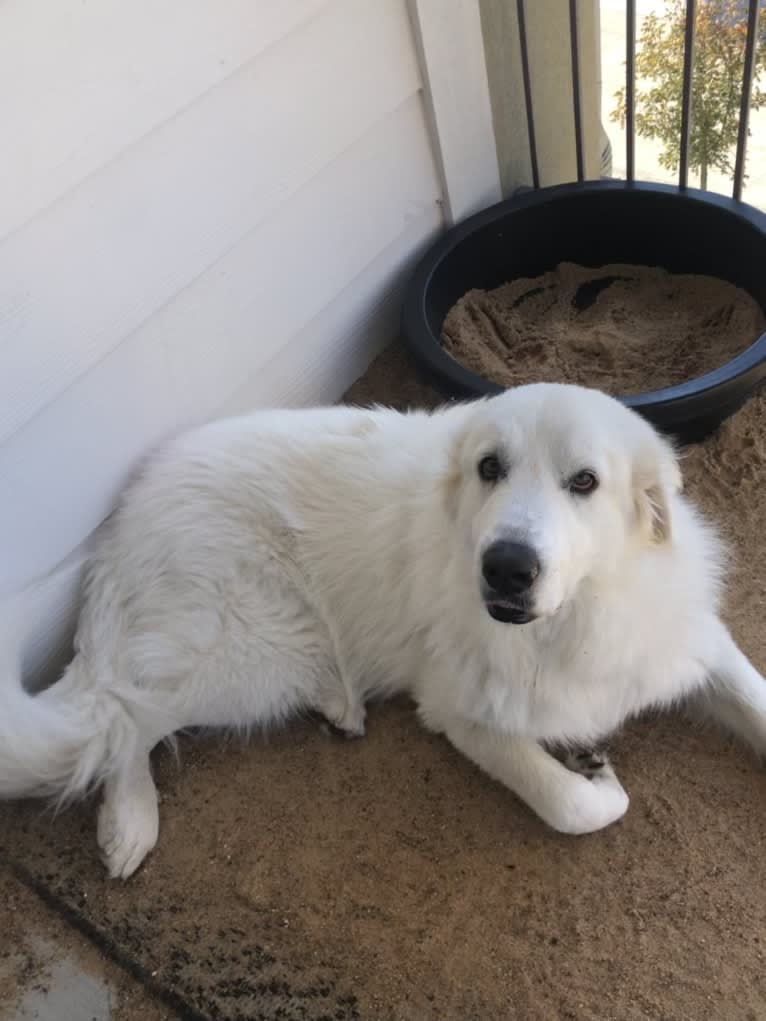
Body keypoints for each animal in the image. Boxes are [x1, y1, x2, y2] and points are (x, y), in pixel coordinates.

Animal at [1, 383, 766, 878]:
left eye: (584, 482)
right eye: (490, 467)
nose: (506, 567)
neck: (570, 620)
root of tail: (119, 525)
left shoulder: (693, 645)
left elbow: (753, 700)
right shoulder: (461, 714)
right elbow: (573, 805)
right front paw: (598, 776)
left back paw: (335, 706)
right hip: (248, 655)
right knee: (121, 716)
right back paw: (128, 823)